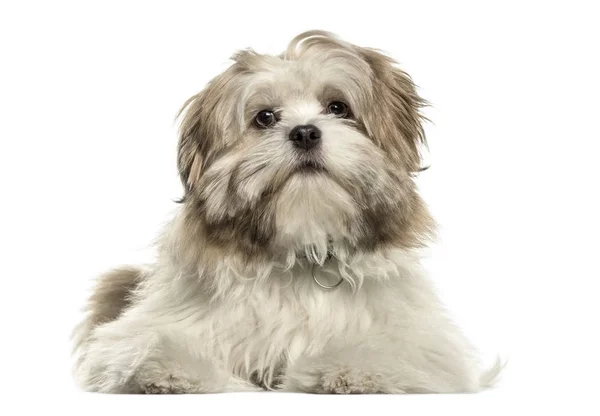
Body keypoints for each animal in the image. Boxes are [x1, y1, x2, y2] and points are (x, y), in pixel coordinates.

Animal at [72, 29, 500, 394]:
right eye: (265, 117)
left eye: (338, 107)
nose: (306, 132)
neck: (302, 253)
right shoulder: (144, 329)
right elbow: (146, 343)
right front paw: (168, 369)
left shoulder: (425, 342)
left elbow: (394, 350)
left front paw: (351, 370)